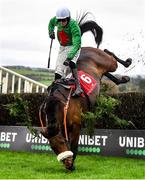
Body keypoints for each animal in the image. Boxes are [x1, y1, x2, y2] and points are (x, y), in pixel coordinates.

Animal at [39, 12, 132, 170]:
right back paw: (123, 79)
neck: (62, 105)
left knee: (108, 54)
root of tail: (85, 48)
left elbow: (74, 146)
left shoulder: (76, 125)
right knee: (106, 73)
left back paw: (127, 62)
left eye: (62, 142)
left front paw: (73, 163)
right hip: (101, 72)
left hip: (108, 62)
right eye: (52, 147)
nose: (67, 165)